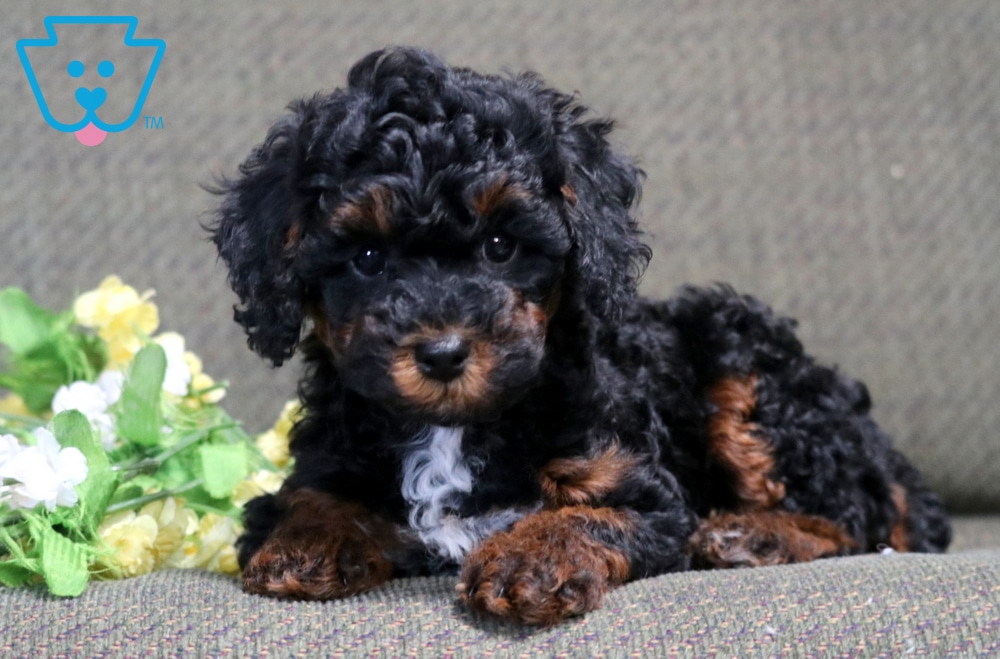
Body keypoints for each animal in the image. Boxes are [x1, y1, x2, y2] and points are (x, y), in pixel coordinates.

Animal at [211, 47, 950, 625]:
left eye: (502, 246)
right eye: (366, 258)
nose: (444, 352)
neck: (453, 428)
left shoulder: (648, 495)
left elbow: (587, 512)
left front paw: (530, 559)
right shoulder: (324, 457)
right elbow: (305, 497)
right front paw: (306, 542)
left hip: (747, 365)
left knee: (856, 519)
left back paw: (752, 535)